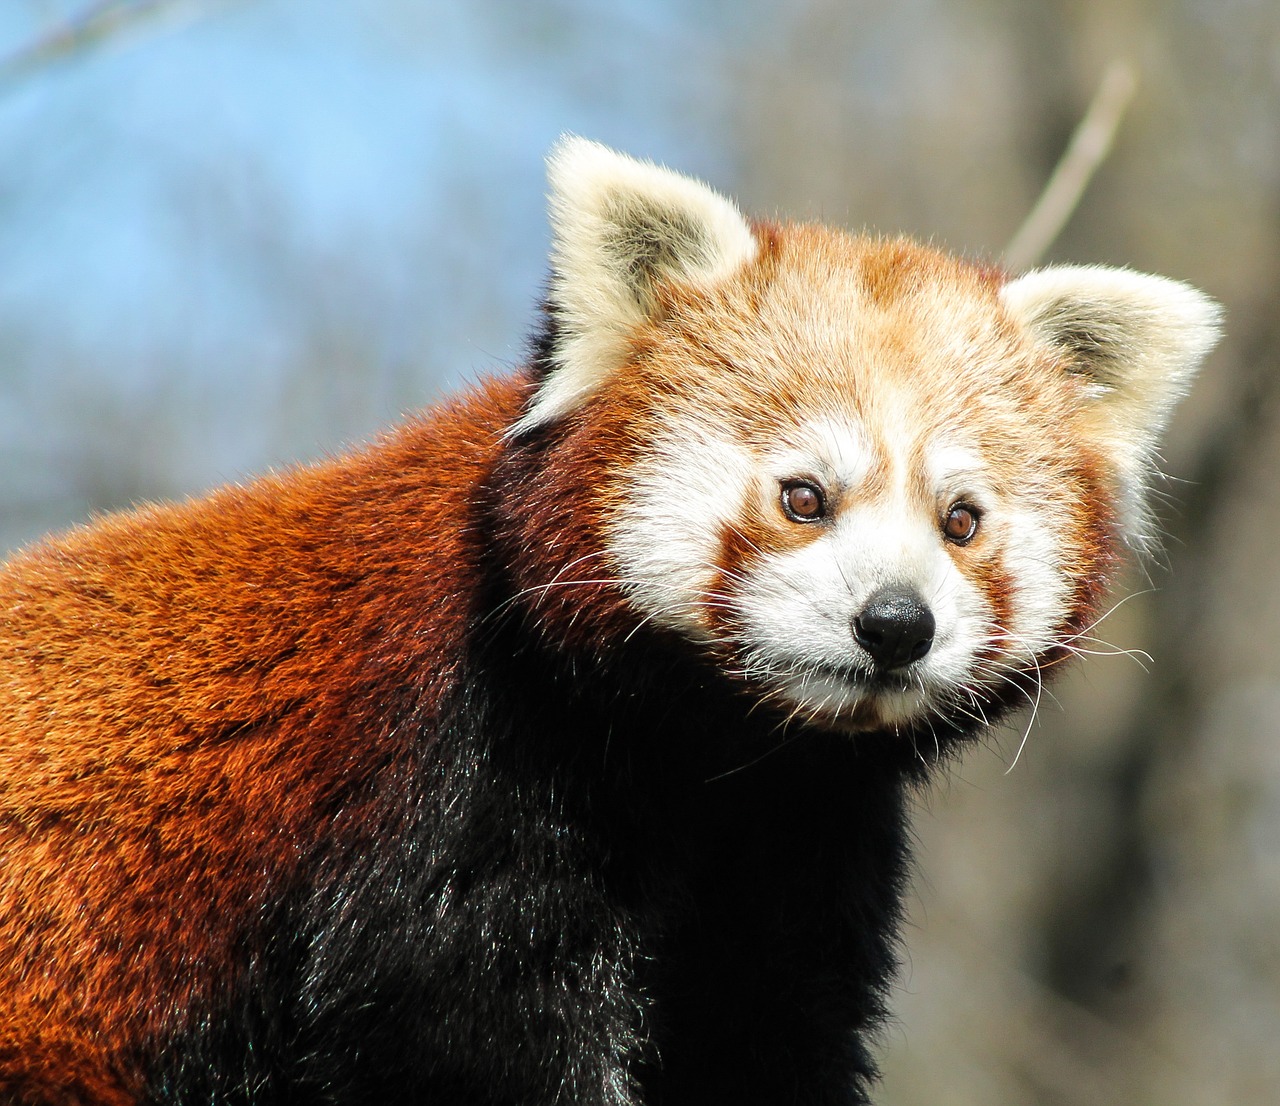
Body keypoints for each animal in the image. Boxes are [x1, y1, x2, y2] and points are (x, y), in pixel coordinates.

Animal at [0, 140, 1218, 1106]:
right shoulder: (454, 779)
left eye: (961, 520)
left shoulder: (798, 846)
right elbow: (468, 1040)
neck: (714, 756)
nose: (894, 623)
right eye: (803, 497)